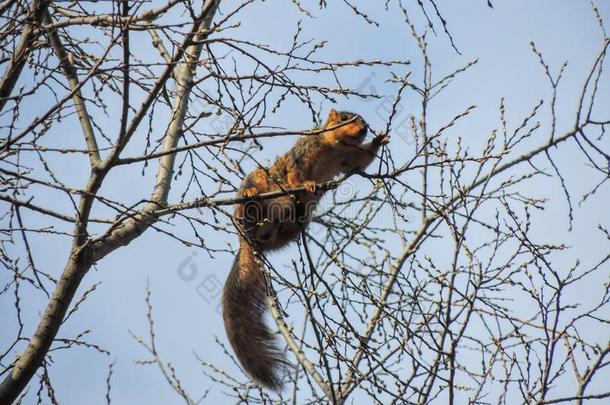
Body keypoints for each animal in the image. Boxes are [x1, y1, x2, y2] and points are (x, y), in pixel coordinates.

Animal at [221, 109, 388, 390]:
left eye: (363, 121)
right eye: (345, 118)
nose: (365, 128)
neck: (334, 146)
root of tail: (250, 242)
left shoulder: (347, 159)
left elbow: (360, 162)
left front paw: (378, 141)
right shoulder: (300, 157)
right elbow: (295, 175)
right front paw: (308, 184)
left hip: (292, 224)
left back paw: (294, 213)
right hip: (255, 185)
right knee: (251, 196)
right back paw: (251, 198)